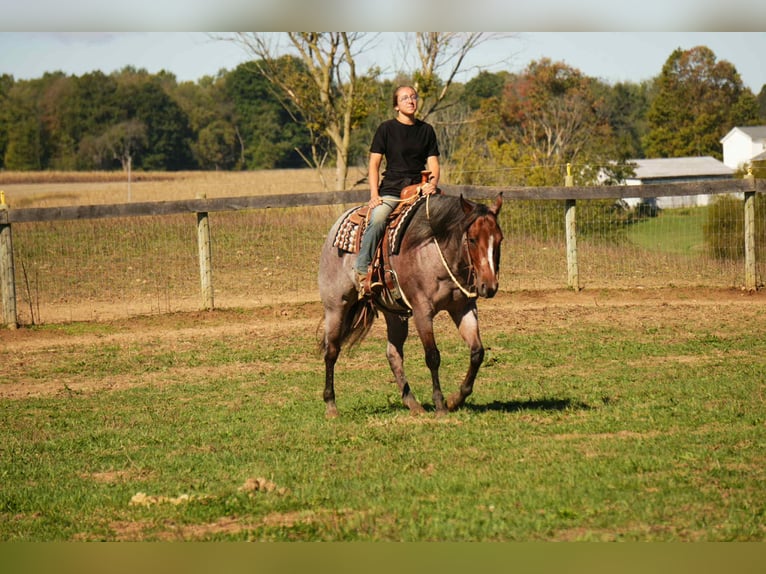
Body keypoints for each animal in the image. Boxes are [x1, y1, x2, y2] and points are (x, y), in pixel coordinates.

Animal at [318, 191, 504, 418]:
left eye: (500, 239)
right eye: (472, 239)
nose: (489, 286)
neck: (435, 252)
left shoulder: (463, 308)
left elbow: (477, 352)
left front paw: (455, 400)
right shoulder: (422, 310)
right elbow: (432, 356)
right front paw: (440, 405)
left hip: (394, 314)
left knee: (393, 354)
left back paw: (413, 404)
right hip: (335, 306)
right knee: (331, 351)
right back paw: (331, 405)